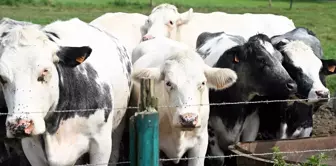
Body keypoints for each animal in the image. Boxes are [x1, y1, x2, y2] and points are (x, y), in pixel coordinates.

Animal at [196, 31, 298, 165]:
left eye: (281, 59)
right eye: (261, 59)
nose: (292, 85)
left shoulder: (253, 121)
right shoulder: (209, 126)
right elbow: (218, 158)